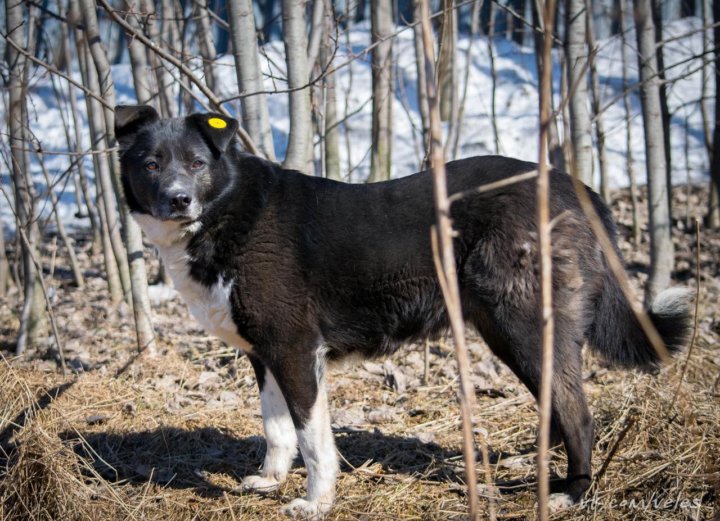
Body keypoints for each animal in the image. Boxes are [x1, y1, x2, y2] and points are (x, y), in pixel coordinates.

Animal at [116, 104, 692, 516]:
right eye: (151, 165)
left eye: (197, 163)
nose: (179, 199)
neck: (227, 211)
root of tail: (580, 189)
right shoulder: (266, 356)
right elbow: (277, 428)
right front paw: (271, 480)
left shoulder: (296, 351)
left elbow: (313, 439)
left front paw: (316, 502)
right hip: (507, 330)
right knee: (556, 402)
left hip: (522, 326)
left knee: (578, 413)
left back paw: (570, 494)